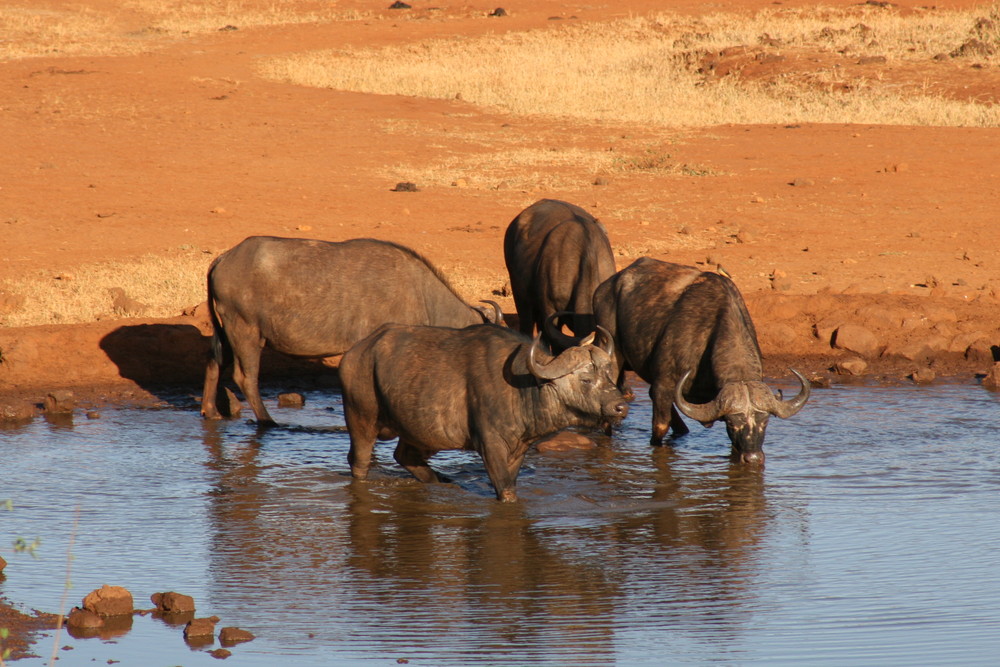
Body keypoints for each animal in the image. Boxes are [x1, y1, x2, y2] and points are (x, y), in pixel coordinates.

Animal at [201, 237, 500, 426]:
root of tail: (224, 259)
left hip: (225, 331)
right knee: (245, 377)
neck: (421, 295)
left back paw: (211, 412)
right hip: (246, 332)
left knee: (214, 362)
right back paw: (268, 422)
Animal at [340, 322, 628, 500]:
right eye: (586, 379)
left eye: (608, 374)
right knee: (359, 463)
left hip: (419, 431)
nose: (620, 406)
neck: (523, 389)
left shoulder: (518, 450)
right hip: (361, 419)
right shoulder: (490, 445)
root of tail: (356, 353)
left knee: (404, 455)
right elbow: (505, 490)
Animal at [592, 258, 812, 464]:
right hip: (610, 348)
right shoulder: (664, 384)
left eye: (764, 421)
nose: (753, 458)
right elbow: (659, 427)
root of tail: (607, 286)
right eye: (732, 423)